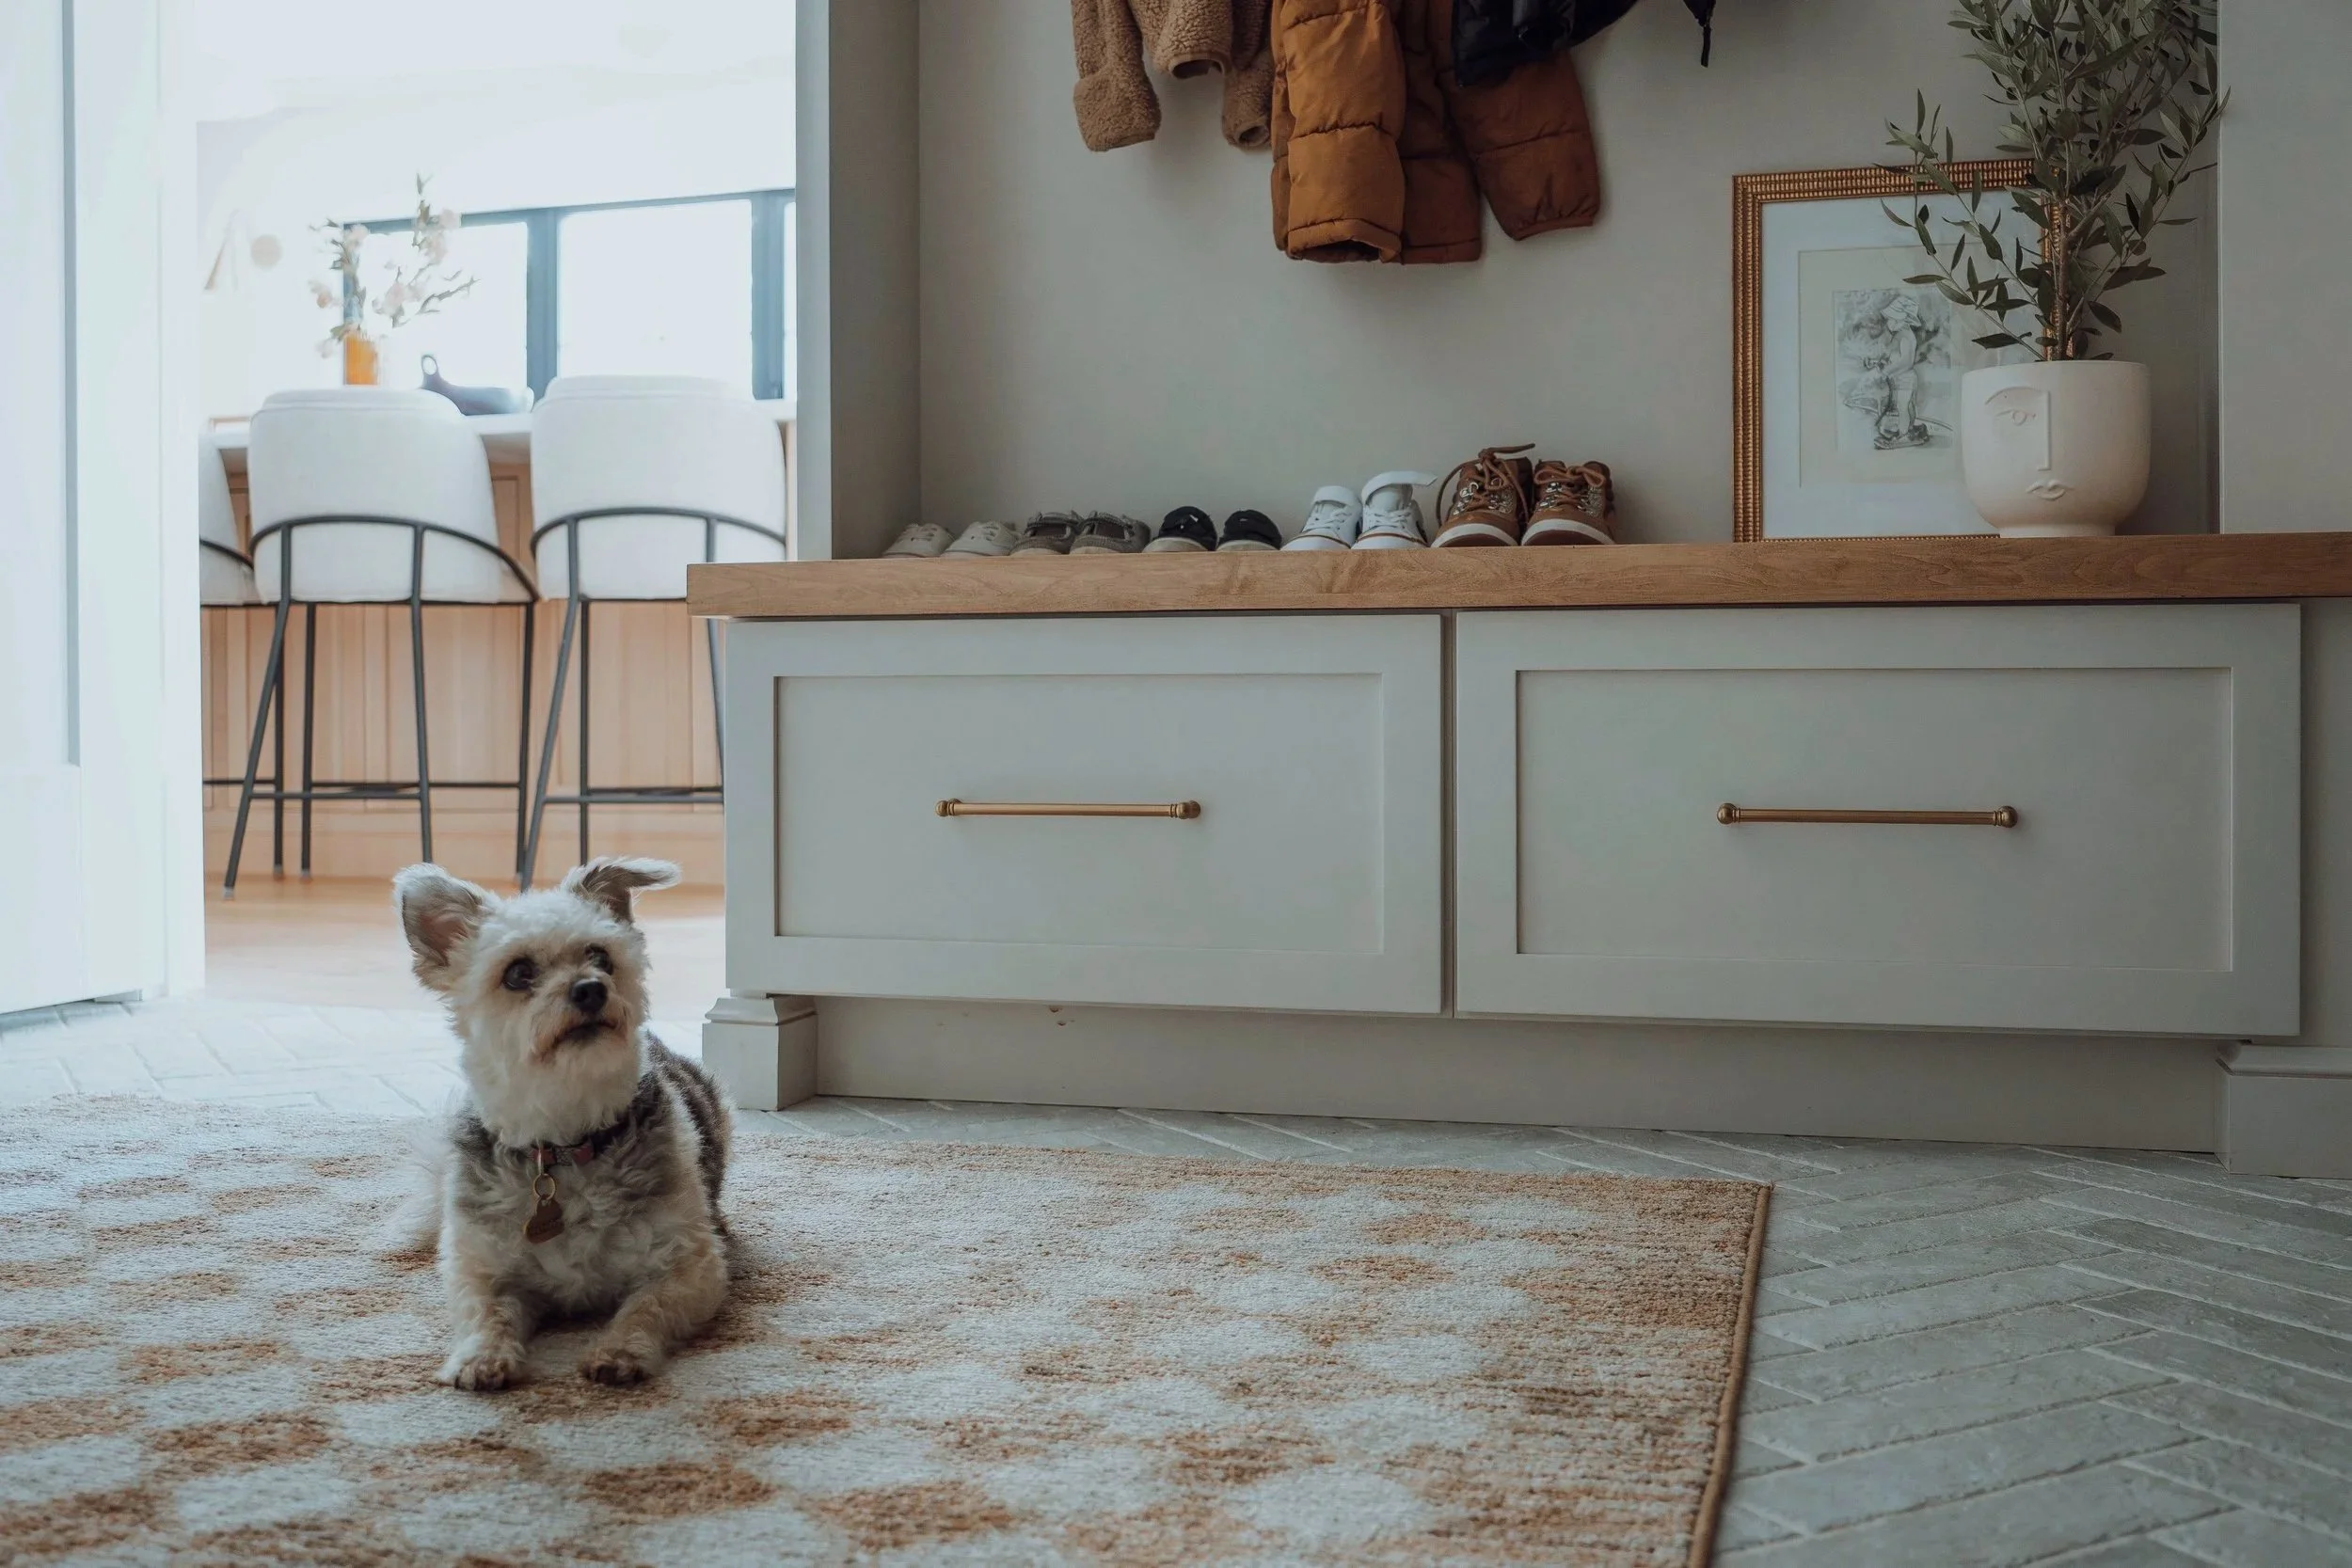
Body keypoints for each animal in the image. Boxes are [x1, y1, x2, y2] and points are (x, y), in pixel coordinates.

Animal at [391, 856, 732, 1390]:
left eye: (601, 956)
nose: (591, 988)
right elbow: (486, 1315)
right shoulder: (480, 1270)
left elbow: (645, 1309)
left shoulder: (689, 1267)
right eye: (517, 973)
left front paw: (619, 1351)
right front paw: (480, 1357)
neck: (565, 1139)